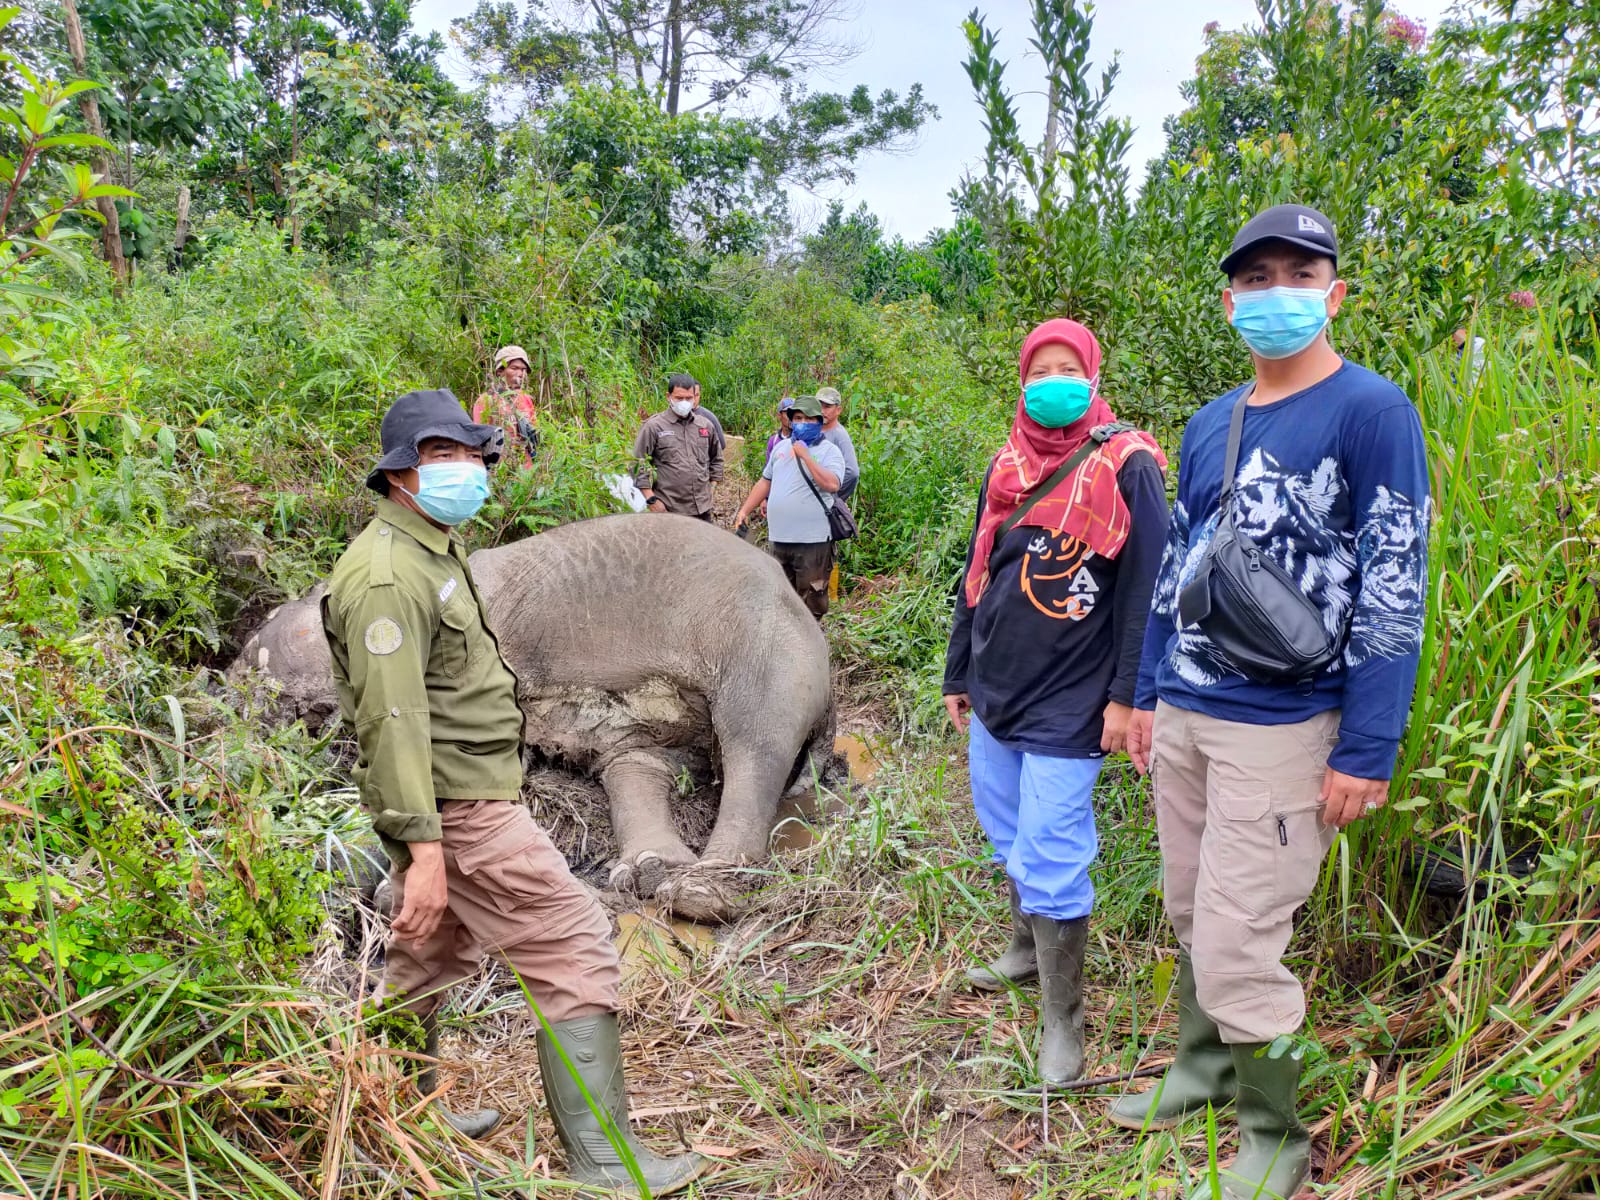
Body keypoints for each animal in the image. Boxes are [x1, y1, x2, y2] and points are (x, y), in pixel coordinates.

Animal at [236, 515, 838, 921]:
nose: (231, 679)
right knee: (637, 761)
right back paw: (649, 871)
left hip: (766, 648)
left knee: (754, 744)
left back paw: (698, 894)